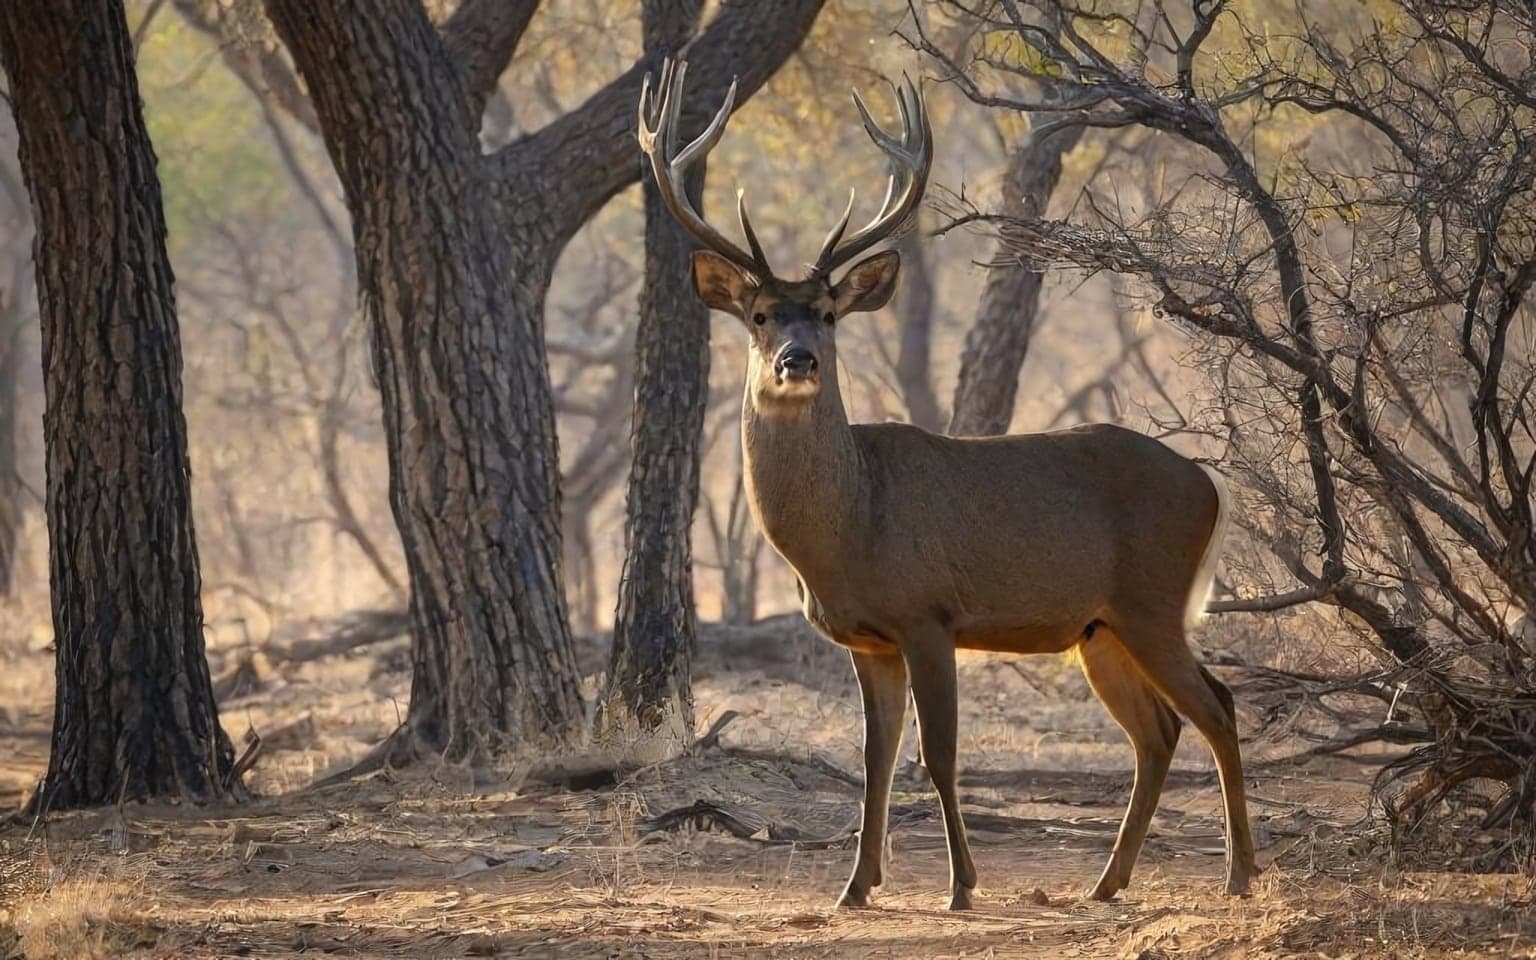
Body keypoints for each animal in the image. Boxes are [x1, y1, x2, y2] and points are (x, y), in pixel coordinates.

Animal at [637, 58, 1257, 911]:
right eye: (760, 314)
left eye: (827, 312)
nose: (799, 359)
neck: (851, 526)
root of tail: (1212, 488)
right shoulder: (869, 640)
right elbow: (875, 759)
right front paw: (856, 887)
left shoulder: (927, 614)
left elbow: (937, 755)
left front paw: (961, 886)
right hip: (1100, 627)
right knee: (1158, 731)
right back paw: (1106, 883)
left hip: (1153, 602)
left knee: (1217, 706)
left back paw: (1238, 875)